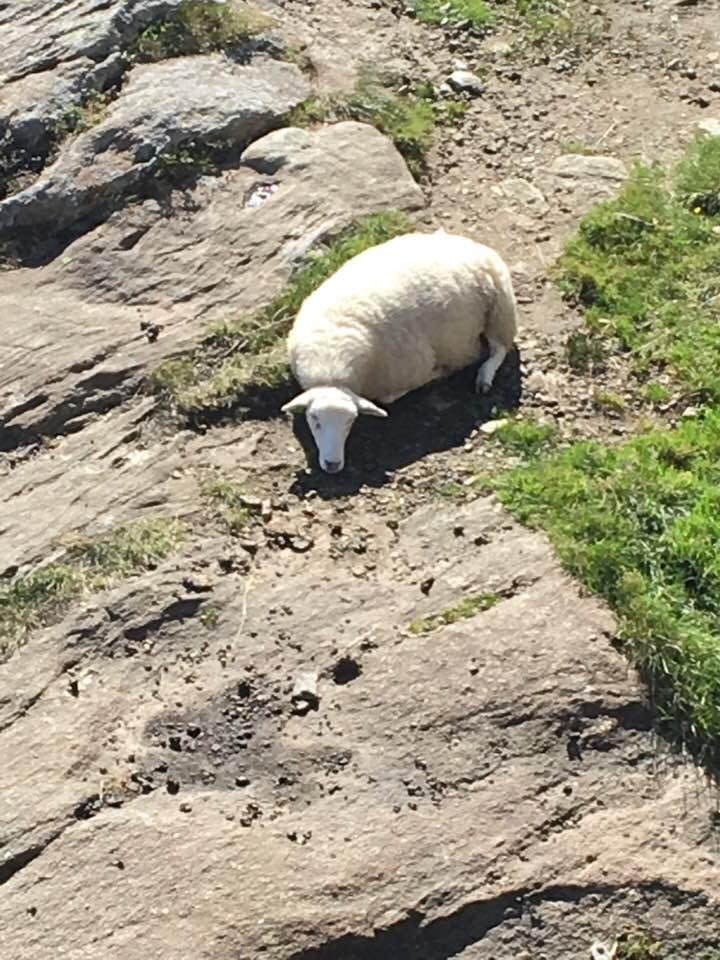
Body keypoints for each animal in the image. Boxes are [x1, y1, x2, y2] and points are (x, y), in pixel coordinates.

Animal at [281, 229, 518, 473]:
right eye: (314, 419)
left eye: (350, 421)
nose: (332, 464)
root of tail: (473, 246)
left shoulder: (414, 365)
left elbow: (391, 396)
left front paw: (432, 376)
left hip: (499, 310)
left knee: (497, 349)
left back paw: (484, 377)